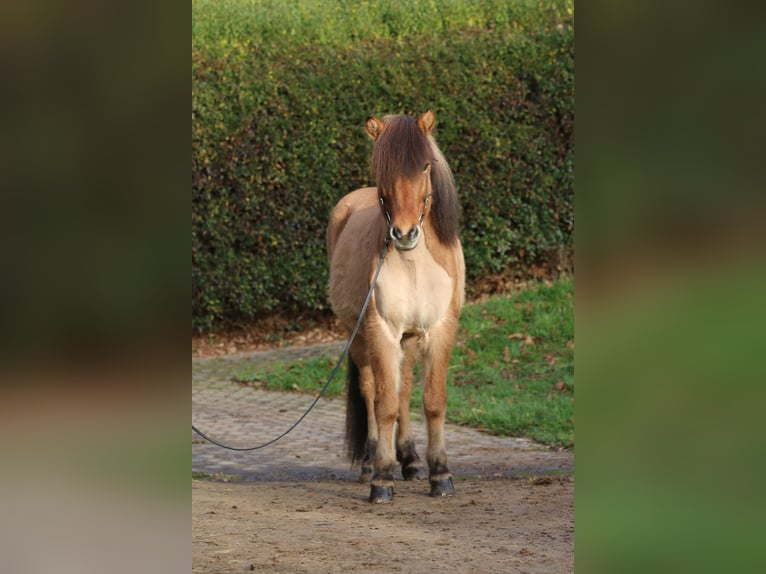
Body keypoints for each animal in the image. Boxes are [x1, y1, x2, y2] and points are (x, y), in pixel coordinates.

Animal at [327, 110, 465, 503]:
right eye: (382, 169)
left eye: (425, 165)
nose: (403, 234)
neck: (413, 262)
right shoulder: (381, 331)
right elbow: (384, 404)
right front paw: (382, 479)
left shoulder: (439, 330)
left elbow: (432, 401)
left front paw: (440, 475)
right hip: (359, 336)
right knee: (372, 389)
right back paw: (374, 461)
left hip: (409, 339)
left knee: (404, 388)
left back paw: (412, 461)